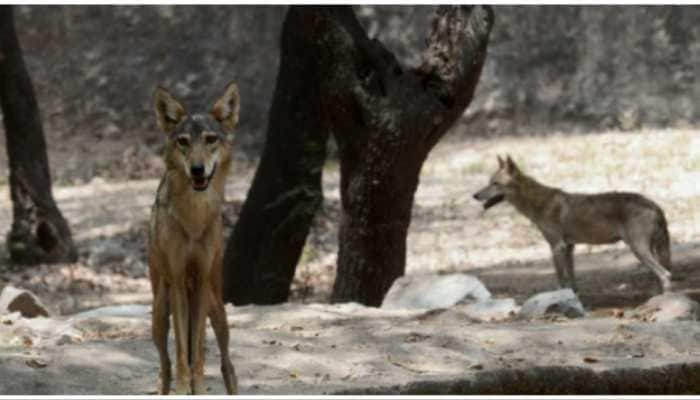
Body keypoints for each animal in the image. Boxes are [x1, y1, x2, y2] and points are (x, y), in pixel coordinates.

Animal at [149, 81, 239, 394]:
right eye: (184, 142)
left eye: (210, 140)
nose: (198, 169)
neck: (194, 219)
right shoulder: (178, 281)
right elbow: (180, 354)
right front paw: (183, 388)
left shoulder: (200, 281)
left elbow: (197, 349)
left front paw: (197, 387)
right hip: (159, 315)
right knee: (164, 366)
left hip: (218, 310)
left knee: (227, 366)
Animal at [470, 156, 672, 294]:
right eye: (489, 182)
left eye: (495, 184)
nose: (475, 195)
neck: (539, 203)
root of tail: (654, 204)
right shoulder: (569, 248)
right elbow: (572, 280)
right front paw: (572, 299)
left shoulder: (557, 247)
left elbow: (561, 279)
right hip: (648, 251)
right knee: (663, 276)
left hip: (638, 250)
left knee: (666, 275)